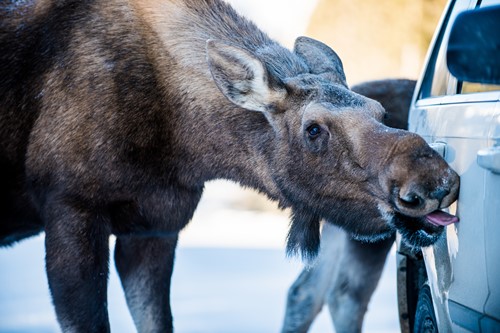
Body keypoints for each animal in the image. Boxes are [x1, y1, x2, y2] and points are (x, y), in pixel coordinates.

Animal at [0, 0, 460, 332]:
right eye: (313, 129)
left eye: (379, 112)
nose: (434, 181)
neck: (188, 147)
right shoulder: (71, 209)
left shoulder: (155, 227)